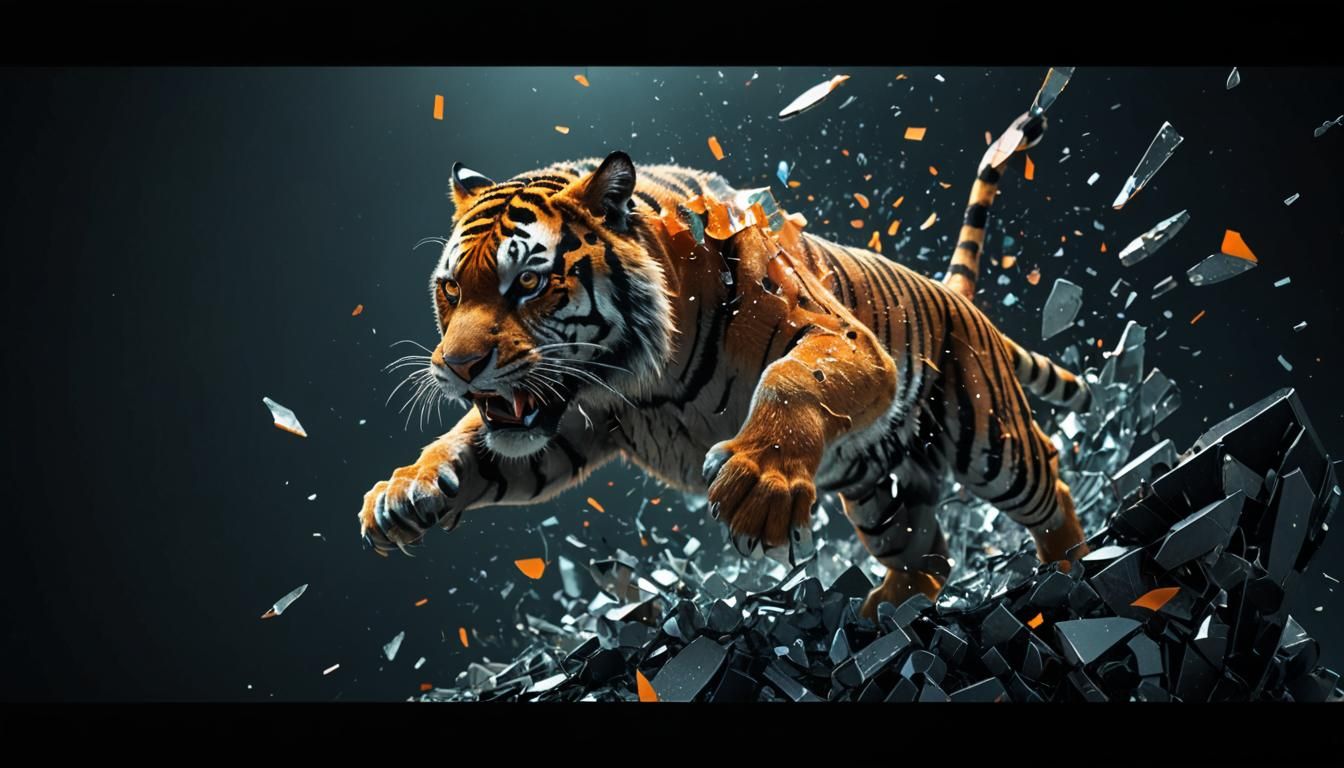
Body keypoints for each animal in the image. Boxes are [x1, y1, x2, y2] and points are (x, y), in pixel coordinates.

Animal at [359, 108, 1092, 617]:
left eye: (529, 283)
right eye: (452, 289)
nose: (458, 368)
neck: (640, 377)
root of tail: (952, 293)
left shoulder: (845, 338)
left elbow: (791, 381)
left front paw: (757, 483)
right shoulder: (571, 428)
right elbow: (475, 445)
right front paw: (405, 491)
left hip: (991, 441)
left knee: (1050, 484)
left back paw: (1069, 571)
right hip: (881, 497)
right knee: (927, 550)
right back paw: (888, 608)